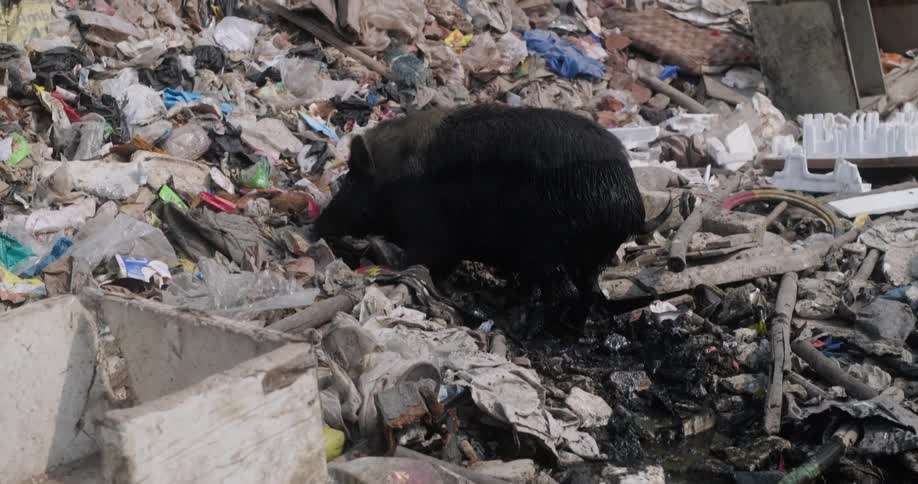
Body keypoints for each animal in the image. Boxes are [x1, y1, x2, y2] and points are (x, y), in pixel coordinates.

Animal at [315, 103, 668, 331]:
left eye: (352, 178)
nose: (316, 226)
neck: (397, 177)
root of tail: (629, 204)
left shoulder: (431, 234)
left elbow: (419, 259)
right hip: (589, 259)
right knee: (589, 292)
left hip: (549, 252)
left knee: (564, 293)